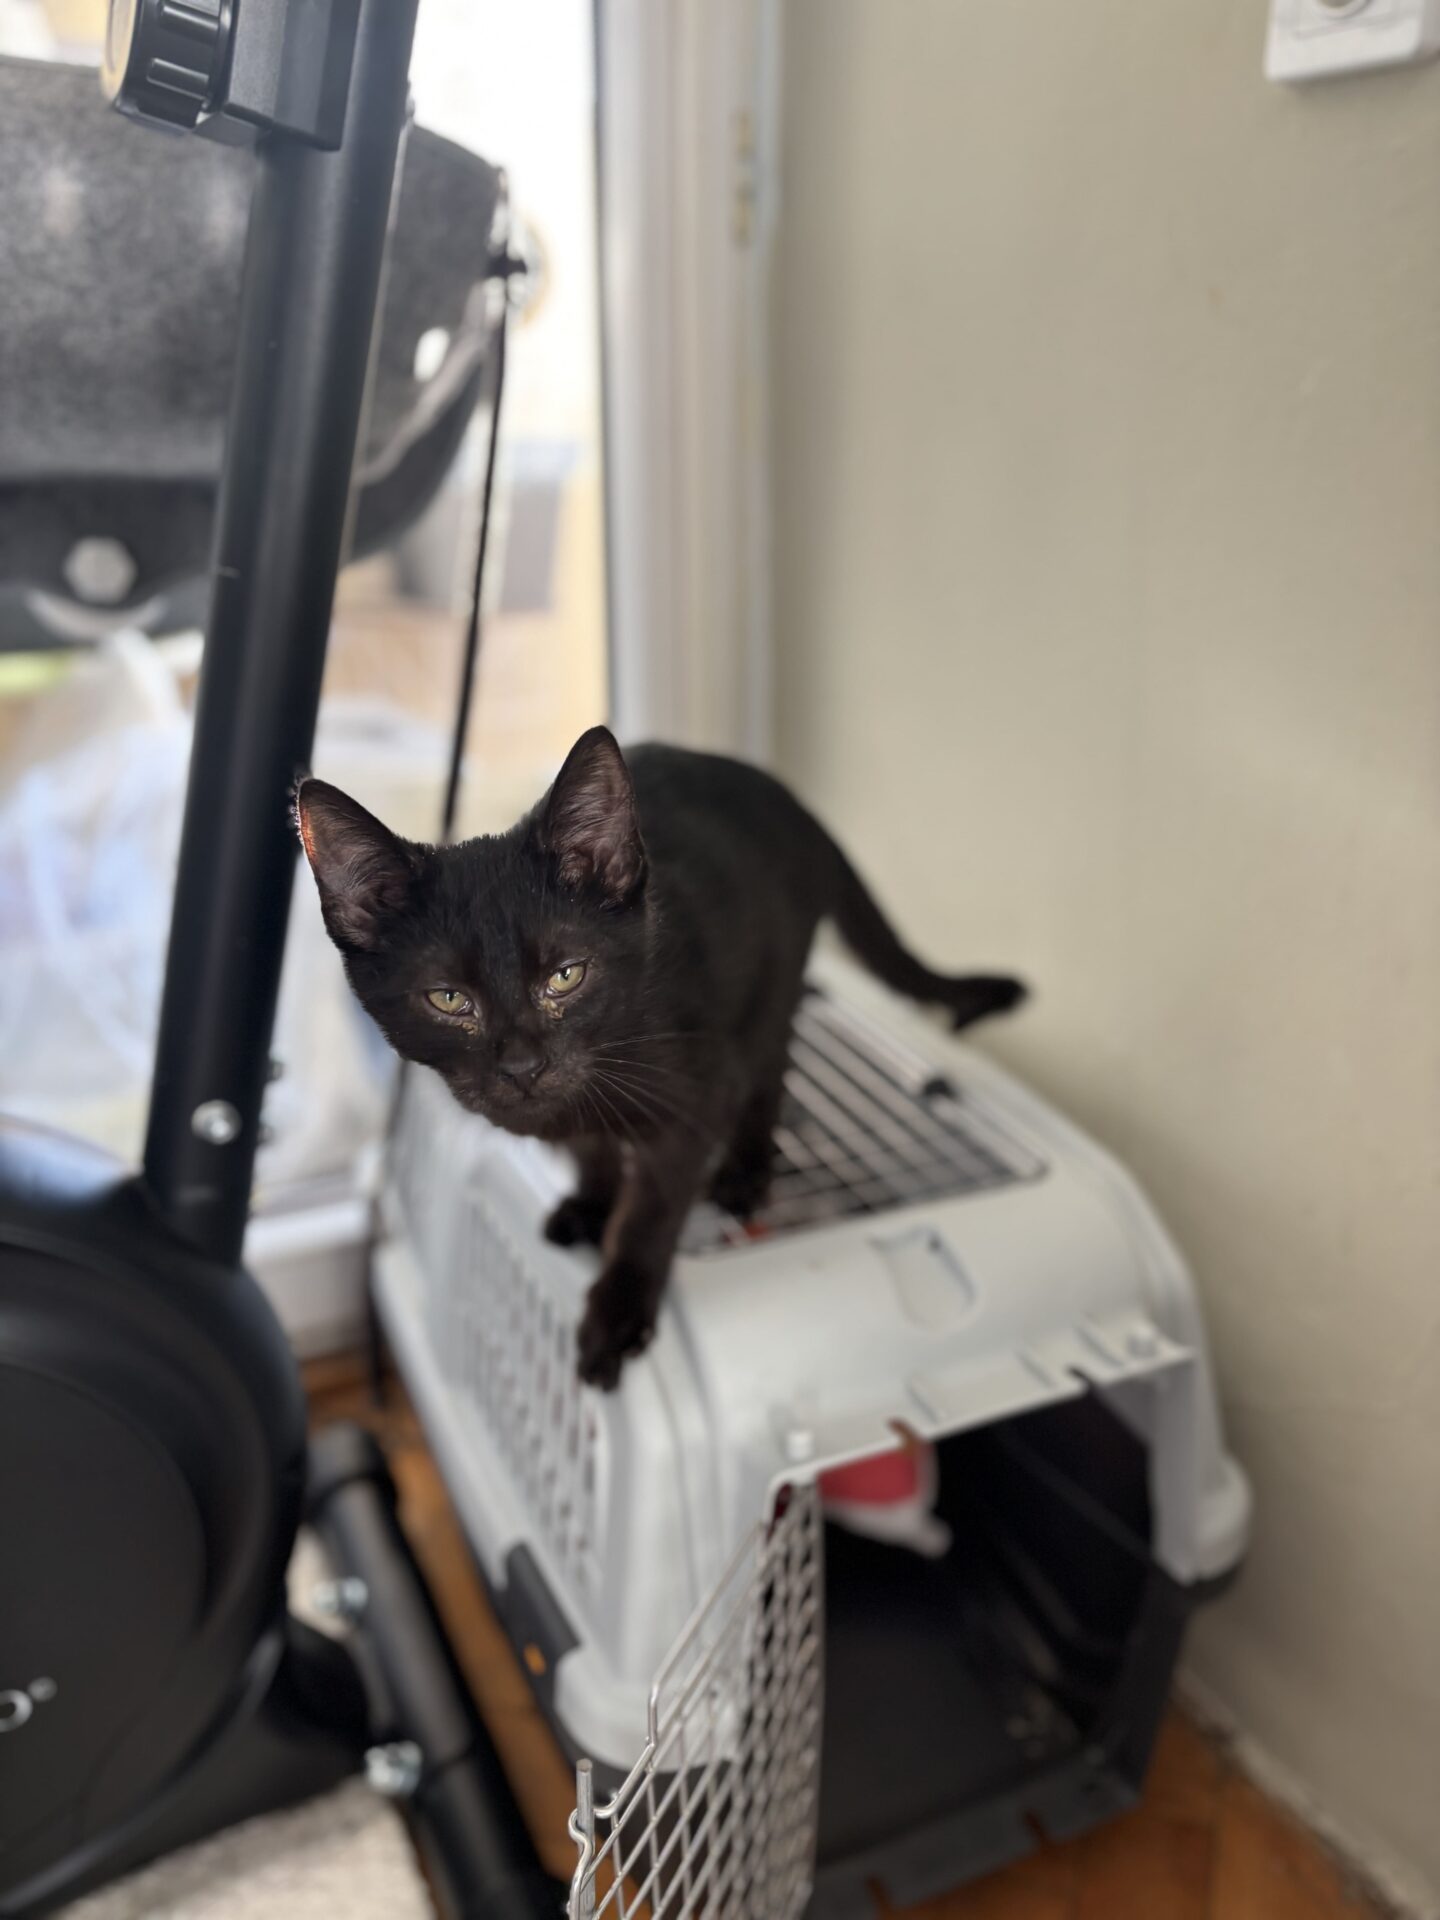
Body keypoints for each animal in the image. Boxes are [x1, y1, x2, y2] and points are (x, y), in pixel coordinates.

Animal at [295, 727, 1025, 1389]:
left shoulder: (695, 1102)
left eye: (565, 976)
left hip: (769, 994)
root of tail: (798, 803)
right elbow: (591, 1152)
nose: (523, 1068)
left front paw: (618, 1310)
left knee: (771, 1073)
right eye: (448, 999)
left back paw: (745, 1172)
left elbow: (650, 1212)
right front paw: (592, 1202)